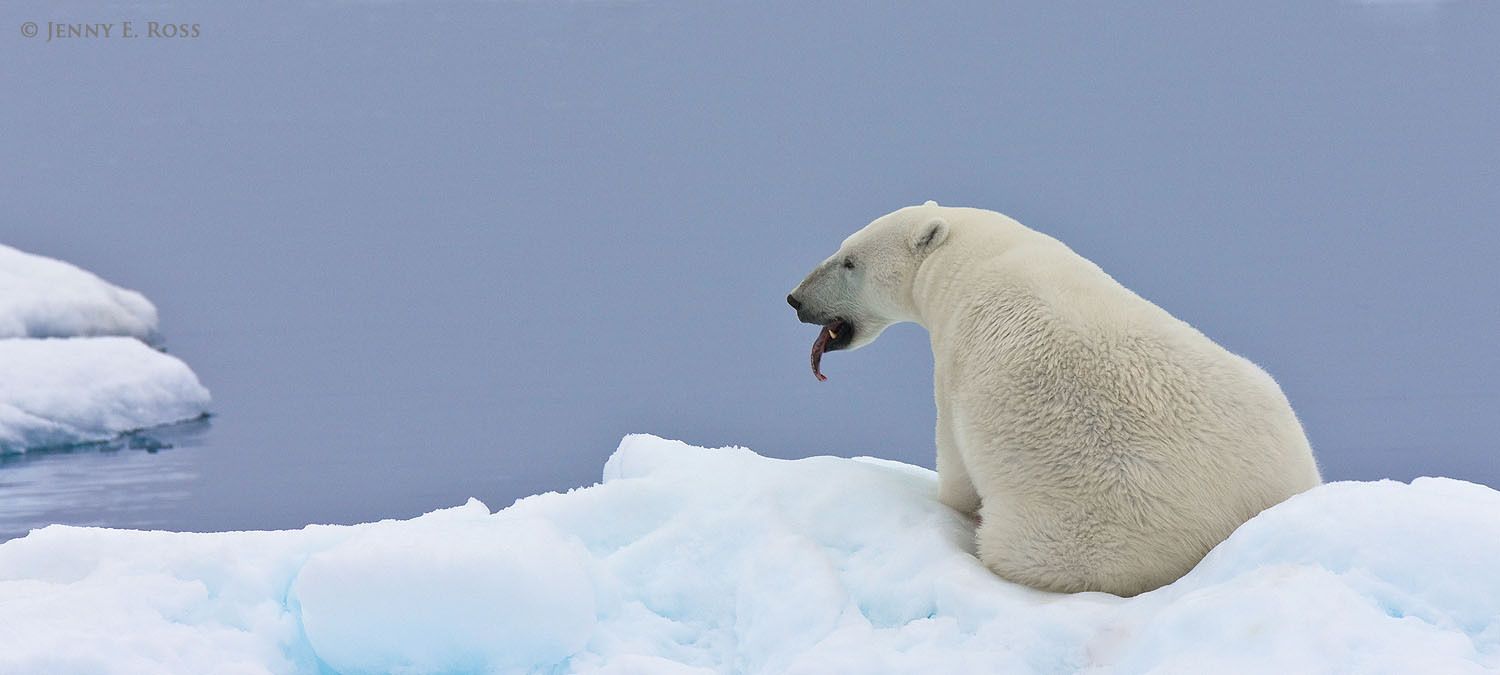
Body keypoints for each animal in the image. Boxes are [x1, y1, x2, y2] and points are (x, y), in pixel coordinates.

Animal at [787, 201, 1321, 596]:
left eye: (849, 261)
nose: (795, 299)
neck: (973, 256)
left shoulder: (954, 363)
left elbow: (955, 464)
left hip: (1078, 535)